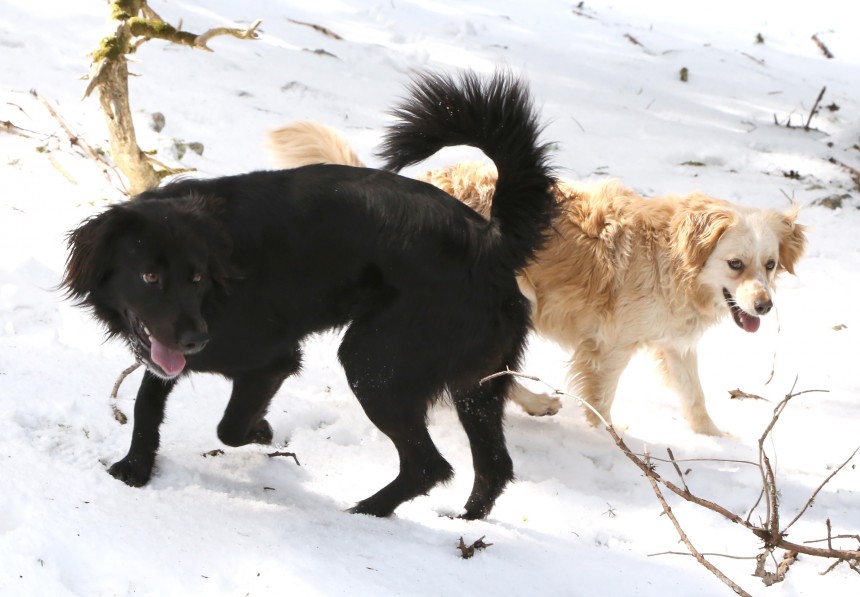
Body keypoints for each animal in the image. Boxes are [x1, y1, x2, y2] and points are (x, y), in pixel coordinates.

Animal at [62, 68, 556, 516]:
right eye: (150, 277)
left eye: (197, 278)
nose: (196, 340)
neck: (220, 290)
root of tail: (491, 242)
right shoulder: (167, 350)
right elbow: (147, 401)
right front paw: (136, 467)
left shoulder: (271, 361)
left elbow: (229, 427)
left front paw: (260, 430)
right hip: (476, 386)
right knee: (495, 466)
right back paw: (464, 524)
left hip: (375, 366)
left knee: (429, 465)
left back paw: (365, 514)